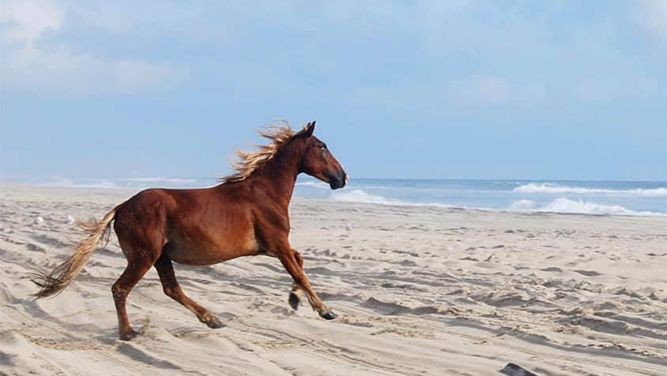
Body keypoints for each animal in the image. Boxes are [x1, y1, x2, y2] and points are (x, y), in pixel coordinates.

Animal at [32, 121, 348, 340]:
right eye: (322, 146)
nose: (343, 177)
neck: (265, 193)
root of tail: (122, 207)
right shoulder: (276, 244)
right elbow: (299, 272)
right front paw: (325, 310)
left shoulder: (271, 247)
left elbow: (300, 263)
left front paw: (295, 300)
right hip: (144, 256)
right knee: (120, 288)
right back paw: (128, 332)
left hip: (161, 257)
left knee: (171, 288)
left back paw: (211, 319)